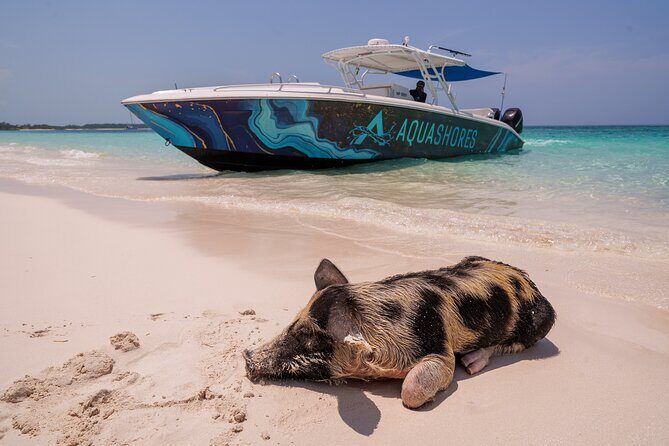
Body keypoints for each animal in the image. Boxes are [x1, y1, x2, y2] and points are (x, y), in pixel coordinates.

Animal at [243, 256, 556, 409]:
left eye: (307, 334)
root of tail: (531, 283)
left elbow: (412, 390)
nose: (246, 357)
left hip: (542, 320)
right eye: (293, 322)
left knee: (512, 344)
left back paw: (471, 364)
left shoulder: (440, 349)